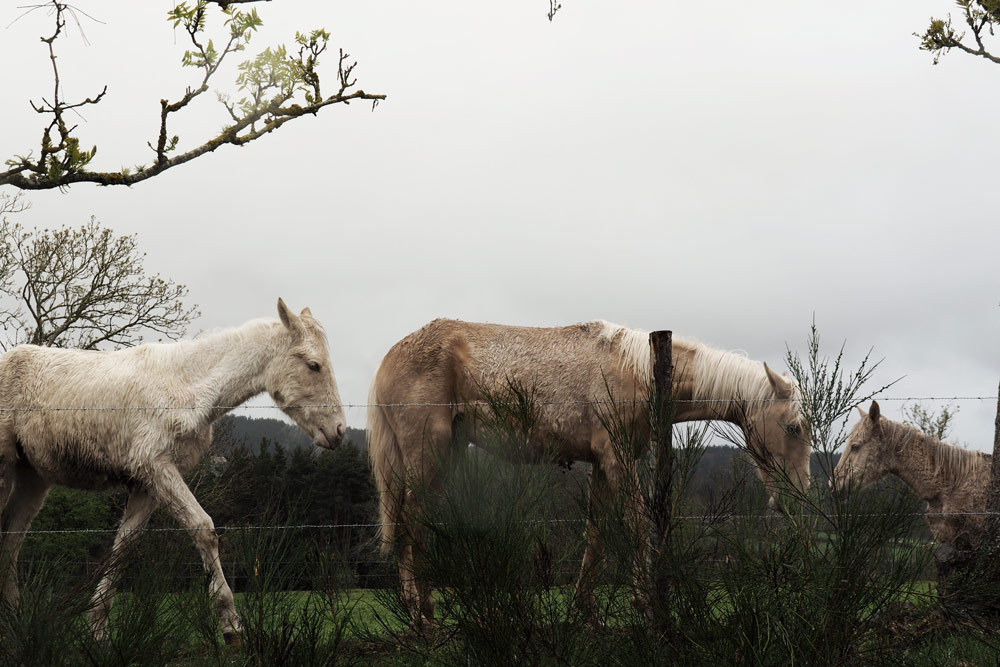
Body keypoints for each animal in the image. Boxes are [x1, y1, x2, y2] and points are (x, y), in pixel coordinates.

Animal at [0, 300, 348, 644]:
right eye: (313, 365)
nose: (338, 431)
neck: (185, 386)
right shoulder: (156, 467)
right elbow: (203, 528)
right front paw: (230, 624)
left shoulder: (147, 483)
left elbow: (125, 547)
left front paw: (98, 628)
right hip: (5, 467)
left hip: (33, 477)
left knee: (12, 540)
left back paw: (15, 620)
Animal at [370, 320, 812, 624]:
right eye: (793, 427)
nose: (798, 496)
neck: (639, 370)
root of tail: (391, 354)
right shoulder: (617, 457)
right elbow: (636, 522)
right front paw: (643, 603)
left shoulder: (602, 464)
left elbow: (596, 532)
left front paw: (585, 611)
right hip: (426, 454)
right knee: (411, 520)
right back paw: (420, 613)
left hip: (444, 457)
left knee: (419, 521)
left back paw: (422, 608)